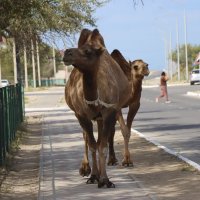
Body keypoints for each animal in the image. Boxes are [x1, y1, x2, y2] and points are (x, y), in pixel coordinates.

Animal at [63, 28, 130, 188]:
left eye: (87, 51)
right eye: (80, 47)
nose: (66, 52)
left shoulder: (110, 112)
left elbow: (102, 146)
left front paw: (105, 180)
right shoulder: (81, 115)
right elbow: (93, 145)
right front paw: (93, 176)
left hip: (102, 117)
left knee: (100, 140)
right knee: (86, 138)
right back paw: (86, 169)